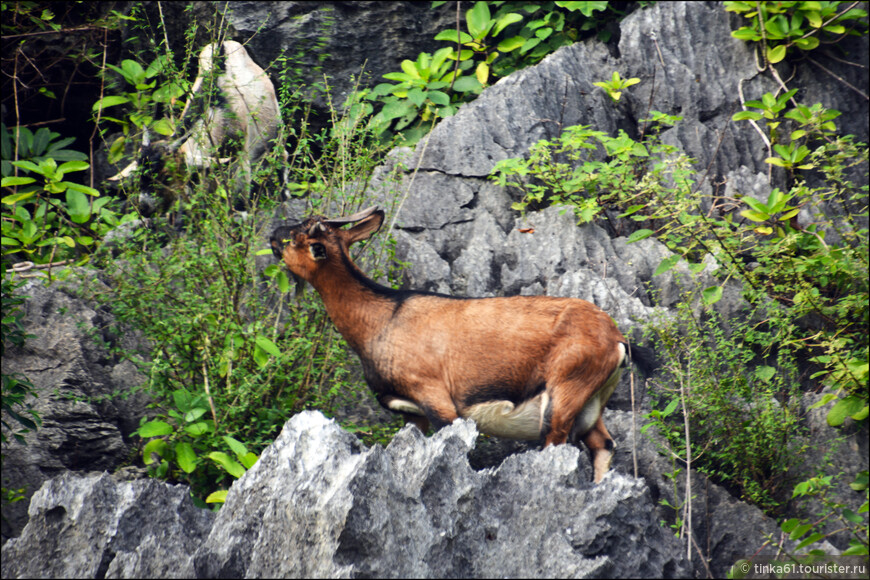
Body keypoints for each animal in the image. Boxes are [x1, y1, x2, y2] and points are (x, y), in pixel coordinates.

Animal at [270, 206, 656, 482]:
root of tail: (617, 339)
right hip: (591, 402)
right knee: (603, 445)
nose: (273, 233)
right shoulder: (413, 414)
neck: (384, 318)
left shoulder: (438, 400)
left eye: (299, 238)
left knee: (558, 443)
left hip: (564, 392)